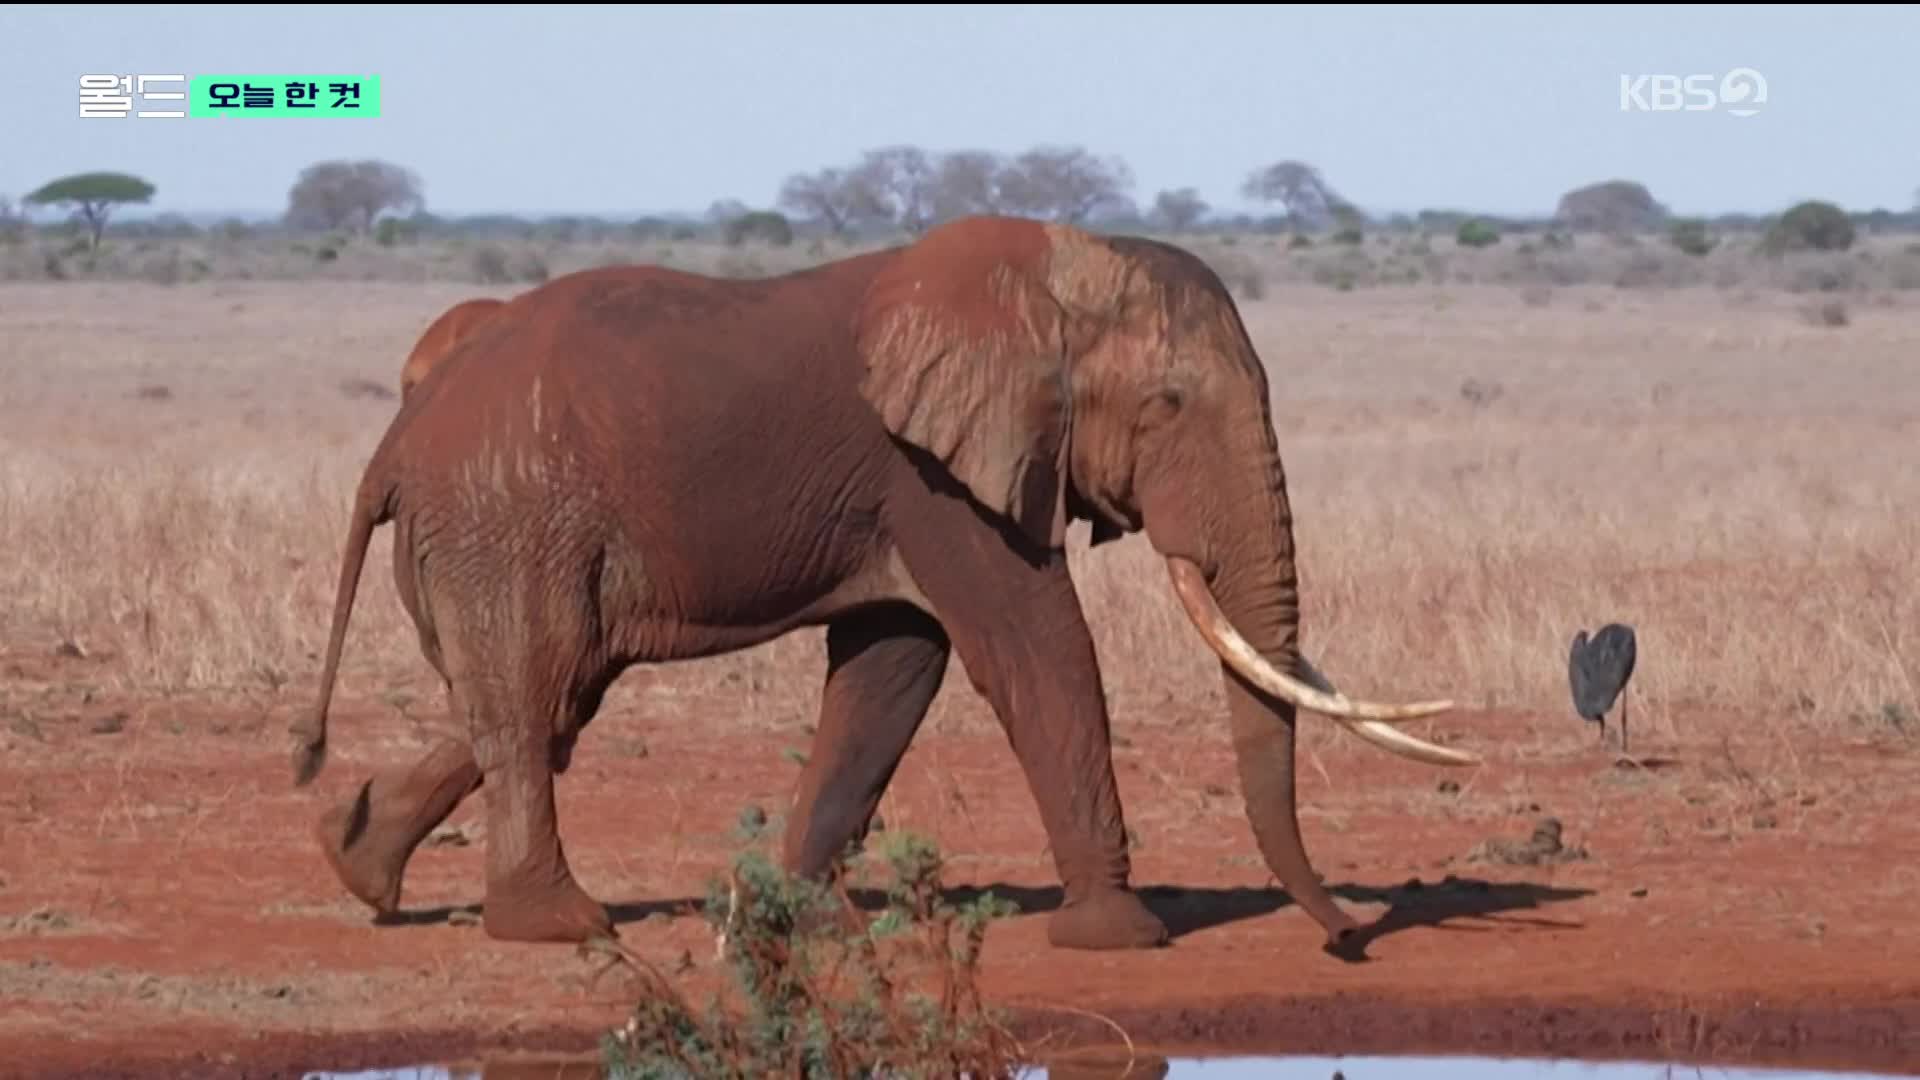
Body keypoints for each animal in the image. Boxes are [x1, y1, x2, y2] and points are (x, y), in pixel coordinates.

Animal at [291, 216, 1474, 949]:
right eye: (1169, 406)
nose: (1350, 937)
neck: (1054, 275)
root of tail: (401, 432)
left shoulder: (913, 491)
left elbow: (892, 669)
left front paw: (799, 918)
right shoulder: (934, 474)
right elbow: (1036, 650)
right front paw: (1121, 938)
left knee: (545, 701)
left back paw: (357, 862)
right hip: (509, 518)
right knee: (536, 698)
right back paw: (558, 924)